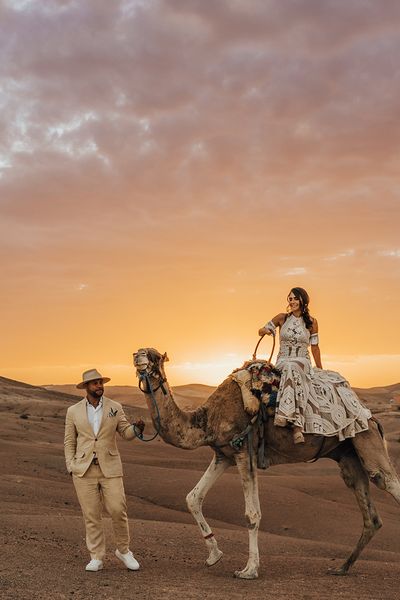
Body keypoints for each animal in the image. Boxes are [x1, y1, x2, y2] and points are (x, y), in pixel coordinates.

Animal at [133, 350, 400, 580]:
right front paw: (214, 556)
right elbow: (193, 497)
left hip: (367, 441)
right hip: (348, 456)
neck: (207, 419)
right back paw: (341, 568)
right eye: (139, 350)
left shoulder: (244, 452)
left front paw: (249, 570)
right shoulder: (223, 455)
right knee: (371, 515)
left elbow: (252, 514)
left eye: (153, 356)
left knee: (387, 481)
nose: (137, 357)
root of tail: (372, 417)